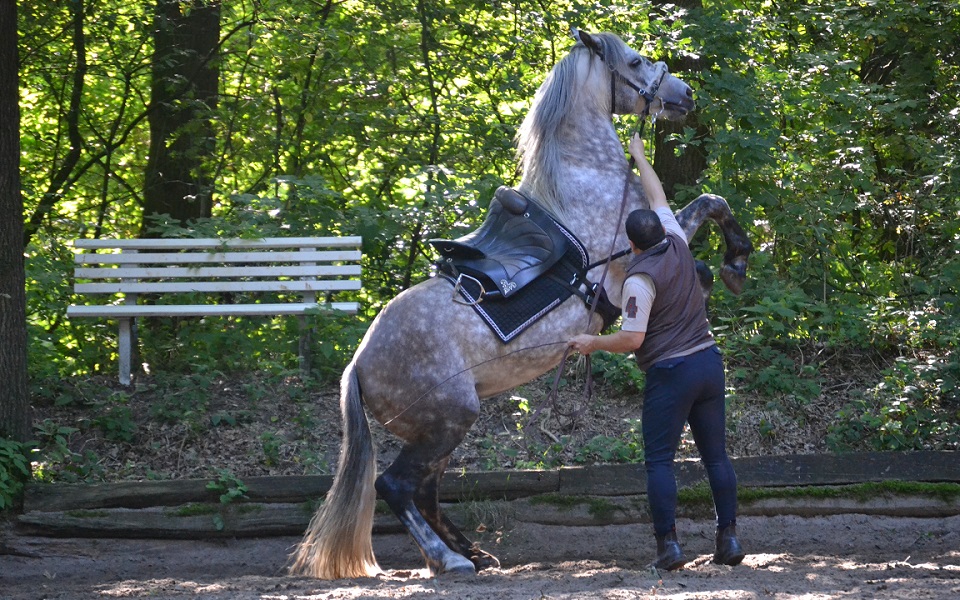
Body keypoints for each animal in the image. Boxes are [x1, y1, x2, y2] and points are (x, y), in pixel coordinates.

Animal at [289, 29, 752, 579]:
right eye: (636, 61)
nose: (685, 95)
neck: (588, 177)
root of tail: (357, 367)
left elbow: (708, 222)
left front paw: (727, 268)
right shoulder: (639, 257)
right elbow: (710, 210)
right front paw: (736, 260)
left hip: (438, 431)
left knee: (425, 490)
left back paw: (473, 553)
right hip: (449, 420)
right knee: (396, 486)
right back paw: (449, 559)